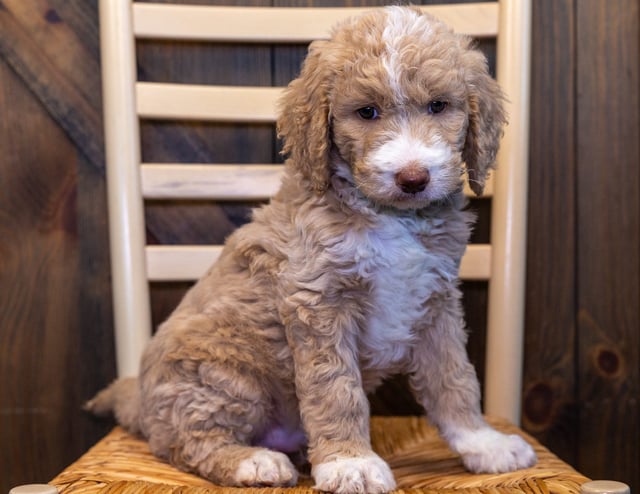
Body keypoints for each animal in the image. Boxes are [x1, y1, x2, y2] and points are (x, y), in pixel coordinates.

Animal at [87, 7, 536, 494]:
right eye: (367, 112)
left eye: (438, 106)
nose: (413, 178)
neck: (391, 217)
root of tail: (141, 402)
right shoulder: (318, 302)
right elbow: (335, 389)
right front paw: (350, 463)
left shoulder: (436, 302)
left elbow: (454, 378)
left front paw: (484, 442)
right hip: (222, 373)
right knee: (185, 442)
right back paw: (252, 461)